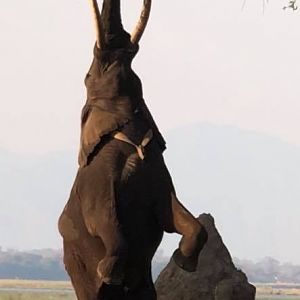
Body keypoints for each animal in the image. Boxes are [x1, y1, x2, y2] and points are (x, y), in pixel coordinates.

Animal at [58, 1, 209, 298]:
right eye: (88, 76)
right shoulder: (97, 181)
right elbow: (103, 219)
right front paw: (109, 274)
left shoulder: (157, 171)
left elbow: (177, 215)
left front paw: (182, 262)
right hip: (75, 264)